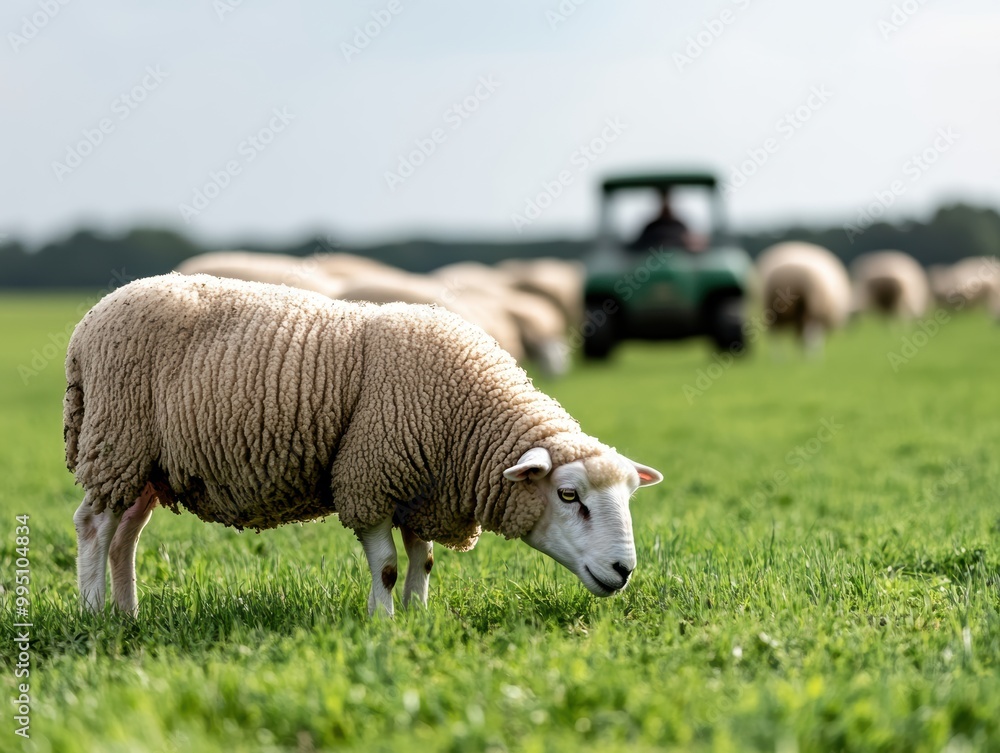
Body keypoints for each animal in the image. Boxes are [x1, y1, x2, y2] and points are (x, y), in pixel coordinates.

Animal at [64, 274, 662, 618]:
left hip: (144, 462)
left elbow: (423, 561)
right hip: (116, 437)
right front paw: (383, 622)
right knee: (95, 525)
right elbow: (389, 565)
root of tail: (89, 320)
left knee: (125, 536)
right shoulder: (370, 476)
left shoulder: (424, 488)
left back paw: (128, 615)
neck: (468, 422)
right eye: (568, 496)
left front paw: (419, 617)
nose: (624, 572)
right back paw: (95, 615)